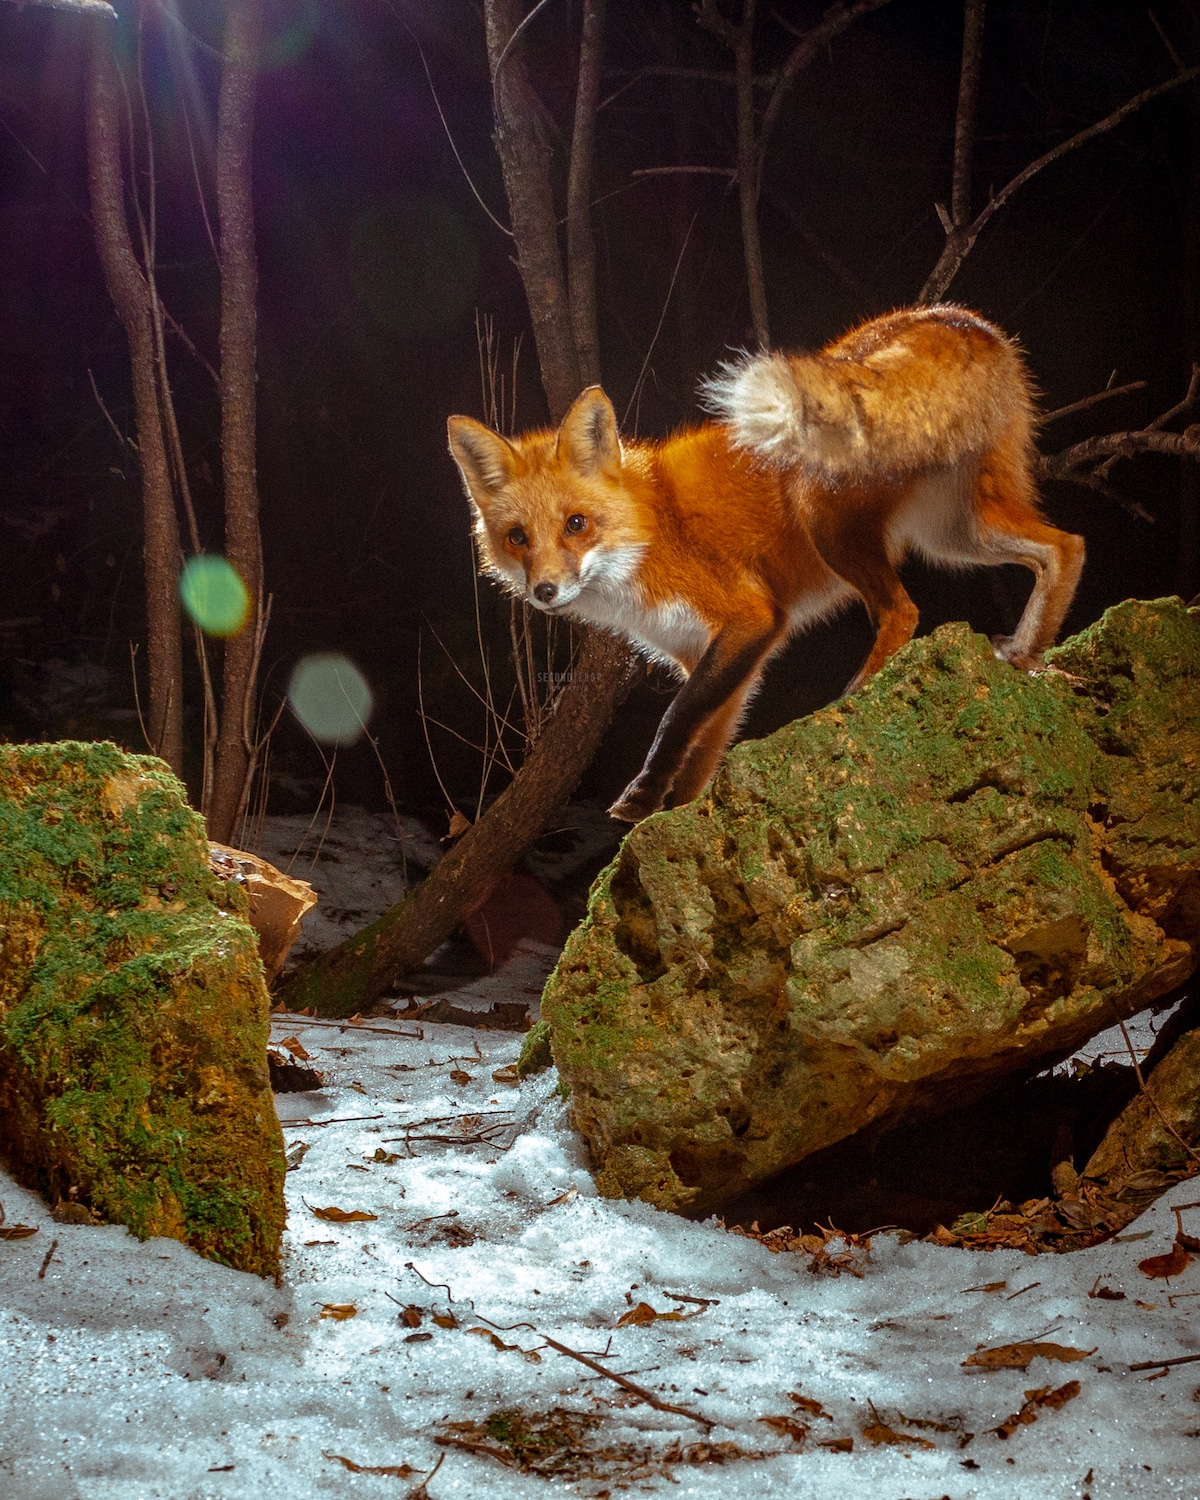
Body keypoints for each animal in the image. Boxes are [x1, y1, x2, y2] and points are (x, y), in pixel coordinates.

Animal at [450, 304, 1086, 822]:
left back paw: (855, 697)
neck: (652, 529)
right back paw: (1028, 653)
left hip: (828, 517)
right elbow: (700, 752)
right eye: (517, 538)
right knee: (1066, 547)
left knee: (904, 611)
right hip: (955, 532)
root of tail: (955, 316)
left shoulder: (751, 617)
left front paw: (642, 798)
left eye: (576, 525)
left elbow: (674, 719)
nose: (545, 592)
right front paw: (673, 813)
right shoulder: (709, 655)